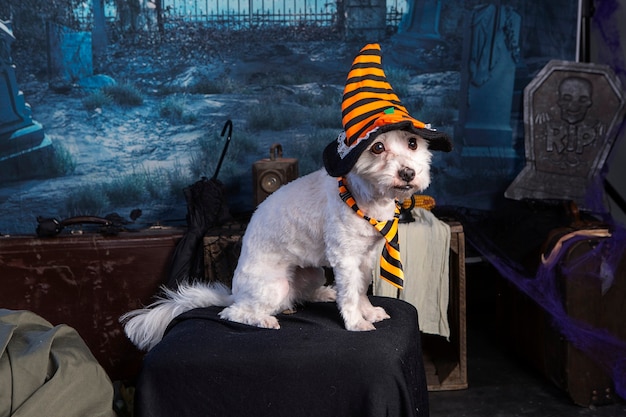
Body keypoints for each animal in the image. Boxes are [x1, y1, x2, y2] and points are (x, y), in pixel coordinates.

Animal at [122, 128, 434, 350]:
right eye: (377, 147)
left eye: (413, 143)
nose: (408, 173)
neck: (366, 198)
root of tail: (234, 291)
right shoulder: (345, 258)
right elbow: (350, 293)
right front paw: (356, 321)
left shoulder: (366, 256)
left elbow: (361, 290)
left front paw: (367, 311)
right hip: (273, 287)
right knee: (232, 313)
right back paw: (264, 318)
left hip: (311, 272)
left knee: (301, 292)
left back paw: (322, 294)